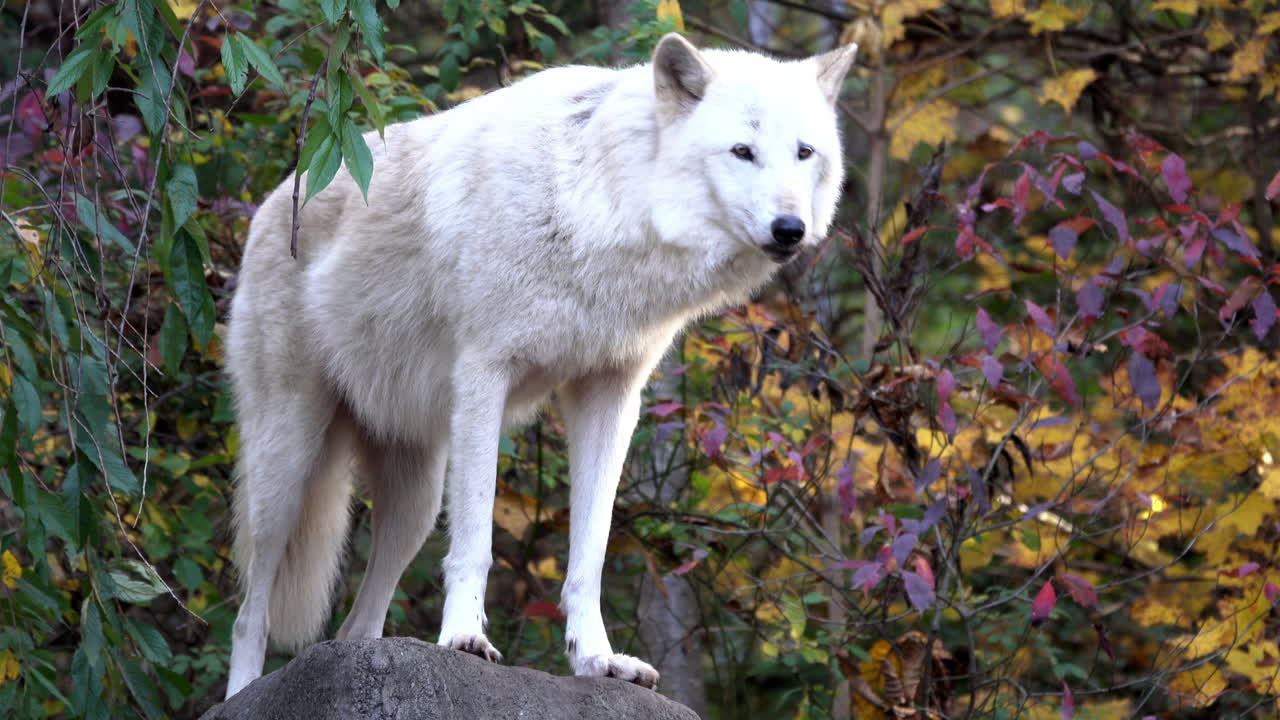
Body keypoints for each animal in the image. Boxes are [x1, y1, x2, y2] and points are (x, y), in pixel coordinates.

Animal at [223, 33, 857, 698]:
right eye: (742, 151)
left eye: (804, 152)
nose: (791, 229)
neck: (597, 206)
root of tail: (276, 198)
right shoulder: (484, 375)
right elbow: (476, 539)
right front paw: (464, 639)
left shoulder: (610, 397)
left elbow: (590, 552)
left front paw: (597, 659)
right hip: (287, 468)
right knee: (249, 611)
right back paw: (242, 691)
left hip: (415, 500)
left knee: (356, 626)